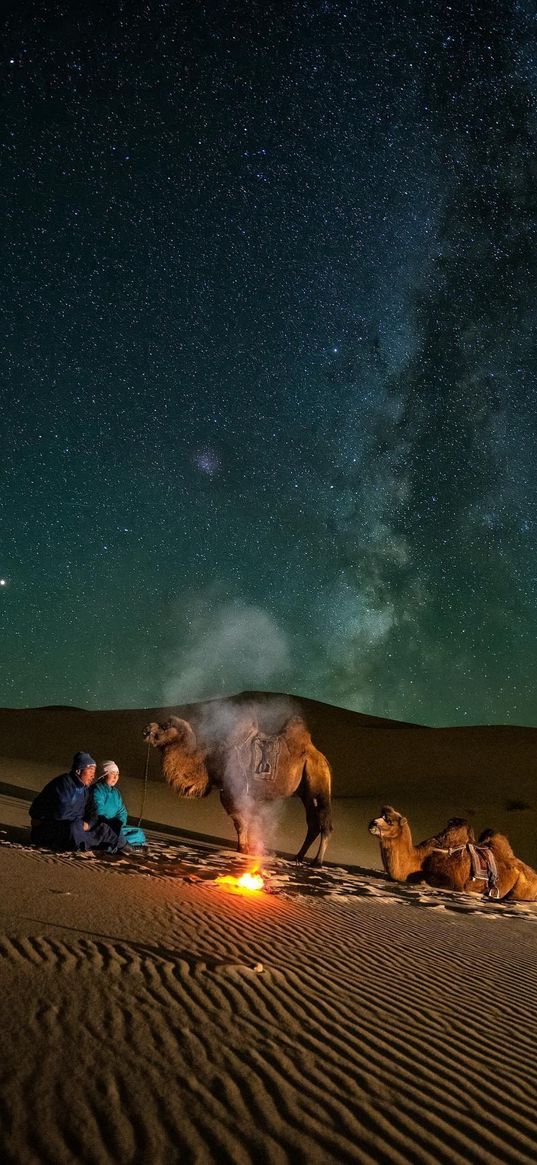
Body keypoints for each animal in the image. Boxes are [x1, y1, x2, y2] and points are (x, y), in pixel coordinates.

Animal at [144, 703, 333, 862]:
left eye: (165, 726)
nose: (146, 729)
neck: (208, 759)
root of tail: (321, 758)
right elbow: (245, 820)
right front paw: (246, 849)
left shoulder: (232, 791)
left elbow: (240, 821)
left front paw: (243, 849)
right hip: (306, 793)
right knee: (313, 823)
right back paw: (298, 857)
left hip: (318, 779)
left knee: (324, 821)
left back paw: (317, 862)